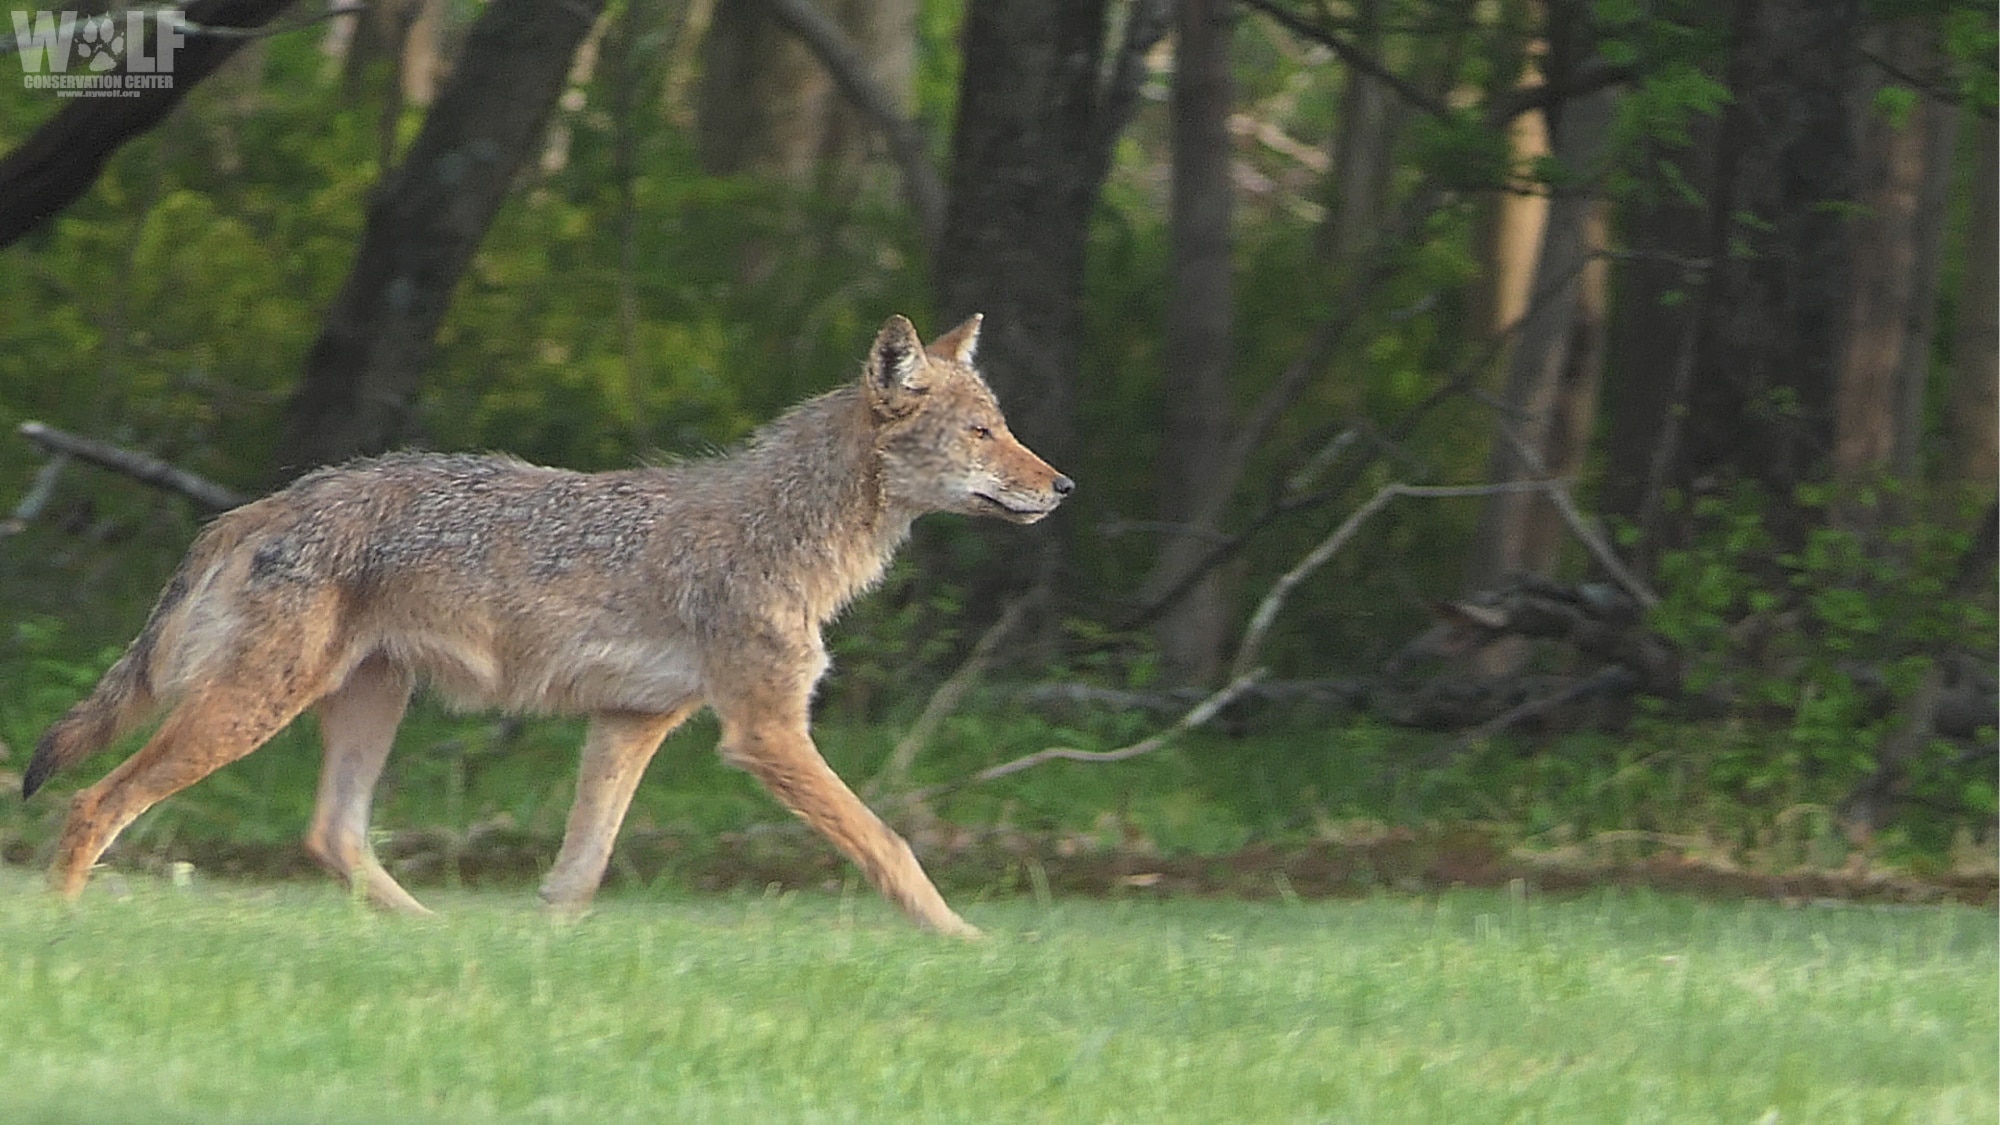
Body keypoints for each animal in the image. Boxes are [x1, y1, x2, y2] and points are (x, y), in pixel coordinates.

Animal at [23, 313, 1070, 938]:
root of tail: (255, 507)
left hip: (363, 706)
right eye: (984, 433)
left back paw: (435, 938)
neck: (787, 533)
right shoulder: (764, 733)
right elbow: (890, 845)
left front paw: (545, 957)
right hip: (251, 711)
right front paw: (968, 941)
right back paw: (61, 927)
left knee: (331, 834)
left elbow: (579, 873)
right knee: (96, 802)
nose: (1063, 486)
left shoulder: (631, 724)